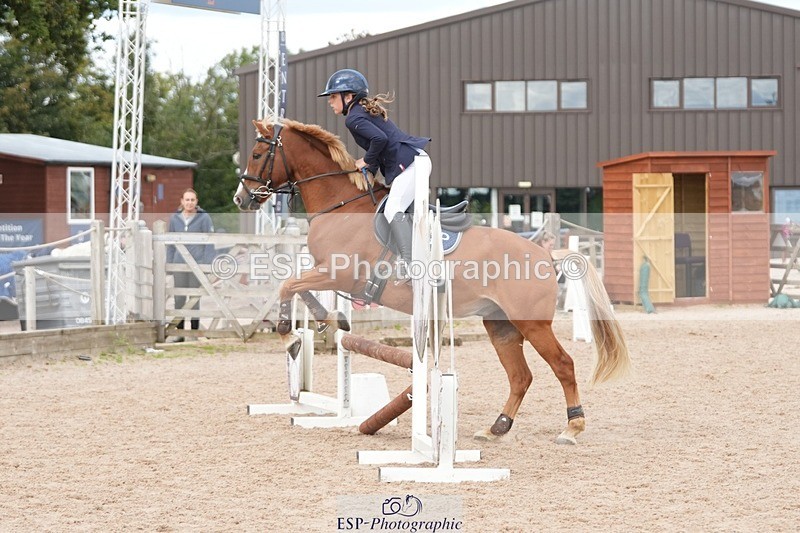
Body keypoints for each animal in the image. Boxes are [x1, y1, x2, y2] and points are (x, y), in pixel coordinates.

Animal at [234, 117, 631, 444]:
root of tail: (546, 256)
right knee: (521, 376)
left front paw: (291, 336)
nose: (241, 199)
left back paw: (572, 427)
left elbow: (288, 285)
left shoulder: (339, 272)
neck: (340, 205)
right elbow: (296, 286)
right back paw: (496, 427)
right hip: (499, 324)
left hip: (531, 323)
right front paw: (329, 320)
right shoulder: (331, 275)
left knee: (563, 364)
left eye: (257, 153)